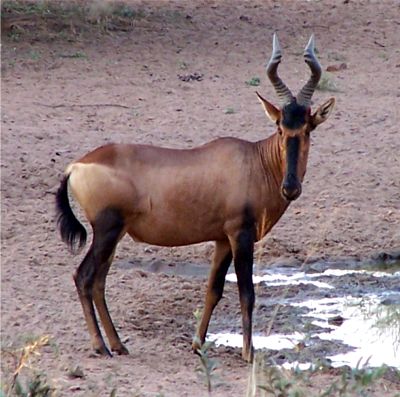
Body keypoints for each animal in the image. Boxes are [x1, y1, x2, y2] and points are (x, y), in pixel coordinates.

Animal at [54, 34, 334, 362]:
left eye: (307, 128)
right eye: (280, 127)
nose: (290, 187)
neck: (253, 160)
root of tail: (76, 166)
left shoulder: (222, 239)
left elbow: (214, 290)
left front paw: (198, 344)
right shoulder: (240, 235)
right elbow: (247, 292)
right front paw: (248, 353)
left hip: (114, 234)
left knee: (99, 281)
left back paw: (118, 345)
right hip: (107, 230)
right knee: (84, 277)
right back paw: (100, 346)